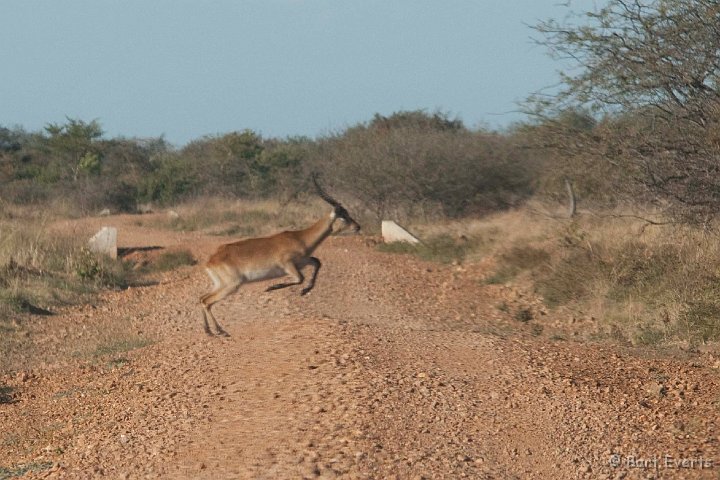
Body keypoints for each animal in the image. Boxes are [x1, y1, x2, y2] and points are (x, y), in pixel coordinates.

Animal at [200, 174, 360, 336]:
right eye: (343, 216)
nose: (358, 227)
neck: (300, 238)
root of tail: (211, 261)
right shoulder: (288, 265)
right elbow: (300, 278)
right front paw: (272, 287)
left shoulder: (303, 261)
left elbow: (317, 262)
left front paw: (305, 291)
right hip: (232, 285)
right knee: (207, 301)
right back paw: (220, 331)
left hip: (220, 284)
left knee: (202, 298)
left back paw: (209, 331)